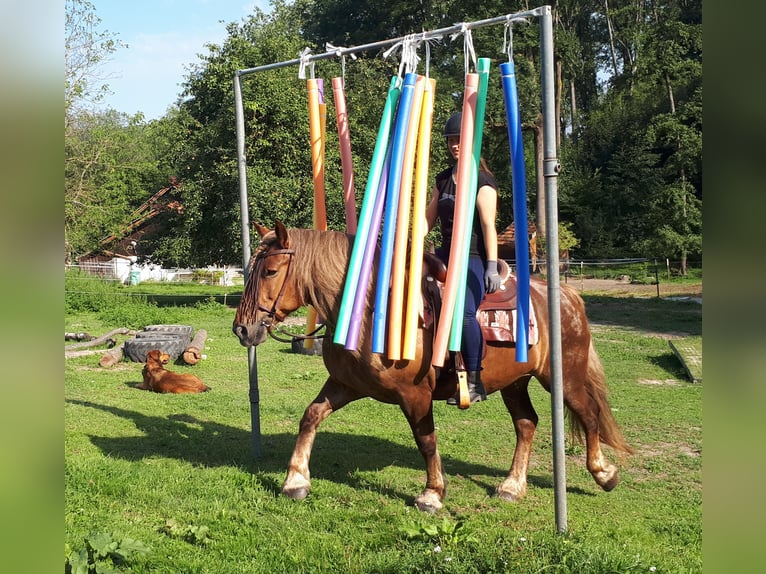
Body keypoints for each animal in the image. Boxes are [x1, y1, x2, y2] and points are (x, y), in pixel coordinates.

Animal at [233, 221, 632, 512]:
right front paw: (295, 481)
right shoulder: (345, 384)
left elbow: (426, 441)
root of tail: (565, 294)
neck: (373, 312)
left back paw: (603, 473)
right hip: (514, 382)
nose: (242, 329)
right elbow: (310, 417)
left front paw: (432, 494)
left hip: (563, 378)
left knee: (589, 414)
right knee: (526, 424)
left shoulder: (415, 395)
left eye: (270, 271)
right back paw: (512, 486)